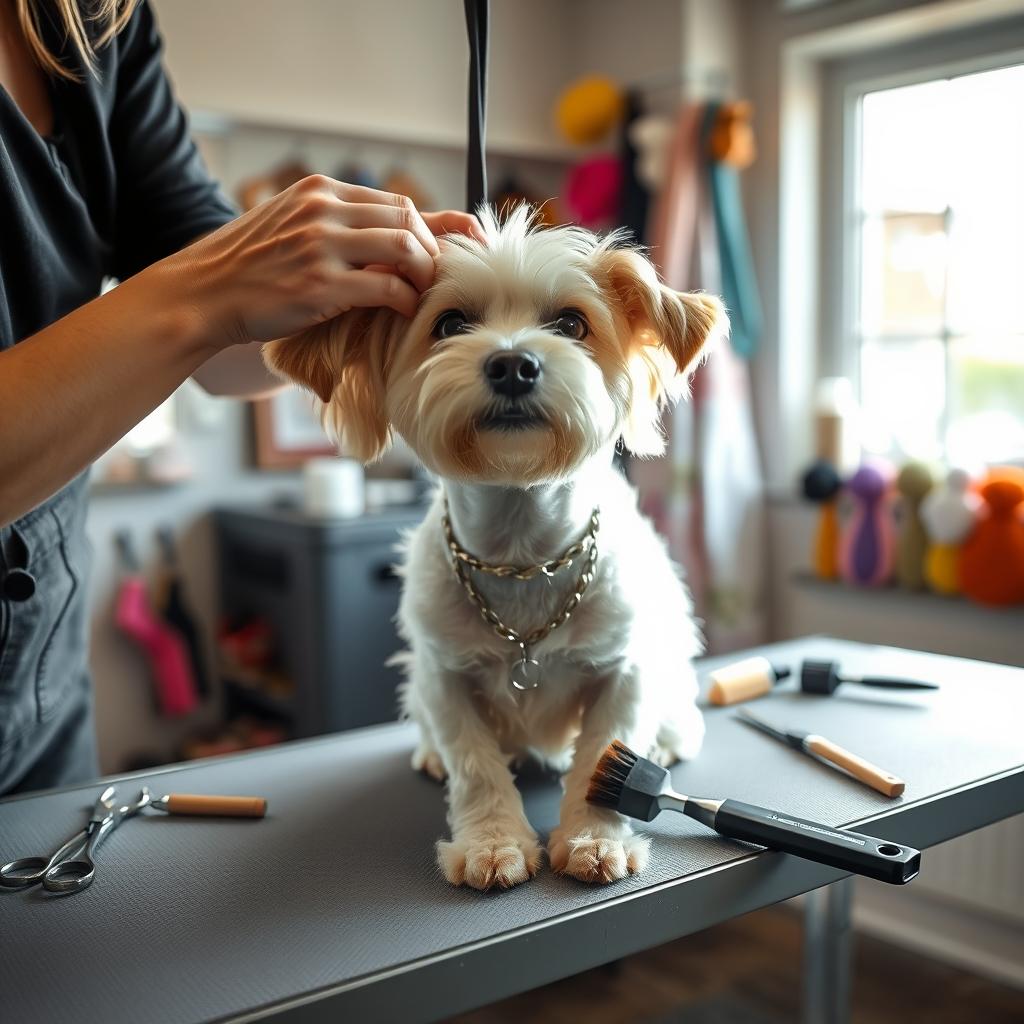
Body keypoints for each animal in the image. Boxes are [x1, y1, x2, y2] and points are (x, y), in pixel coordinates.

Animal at [266, 205, 729, 888]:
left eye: (572, 323)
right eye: (450, 324)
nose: (514, 364)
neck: (522, 554)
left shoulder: (623, 671)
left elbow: (602, 755)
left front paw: (594, 838)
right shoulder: (445, 675)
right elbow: (475, 765)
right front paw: (492, 843)